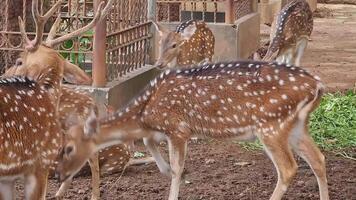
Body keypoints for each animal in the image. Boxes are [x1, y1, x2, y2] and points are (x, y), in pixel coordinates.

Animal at [0, 0, 113, 198]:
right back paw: (61, 193)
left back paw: (92, 195)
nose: (2, 76)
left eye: (19, 61)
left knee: (91, 158)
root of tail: (92, 104)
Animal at [57, 59, 330, 200]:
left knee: (289, 168)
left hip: (272, 125)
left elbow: (177, 167)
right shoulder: (161, 129)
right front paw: (165, 169)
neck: (145, 109)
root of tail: (317, 86)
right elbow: (149, 144)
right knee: (318, 158)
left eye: (67, 148)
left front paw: (173, 177)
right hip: (295, 126)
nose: (59, 176)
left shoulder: (178, 128)